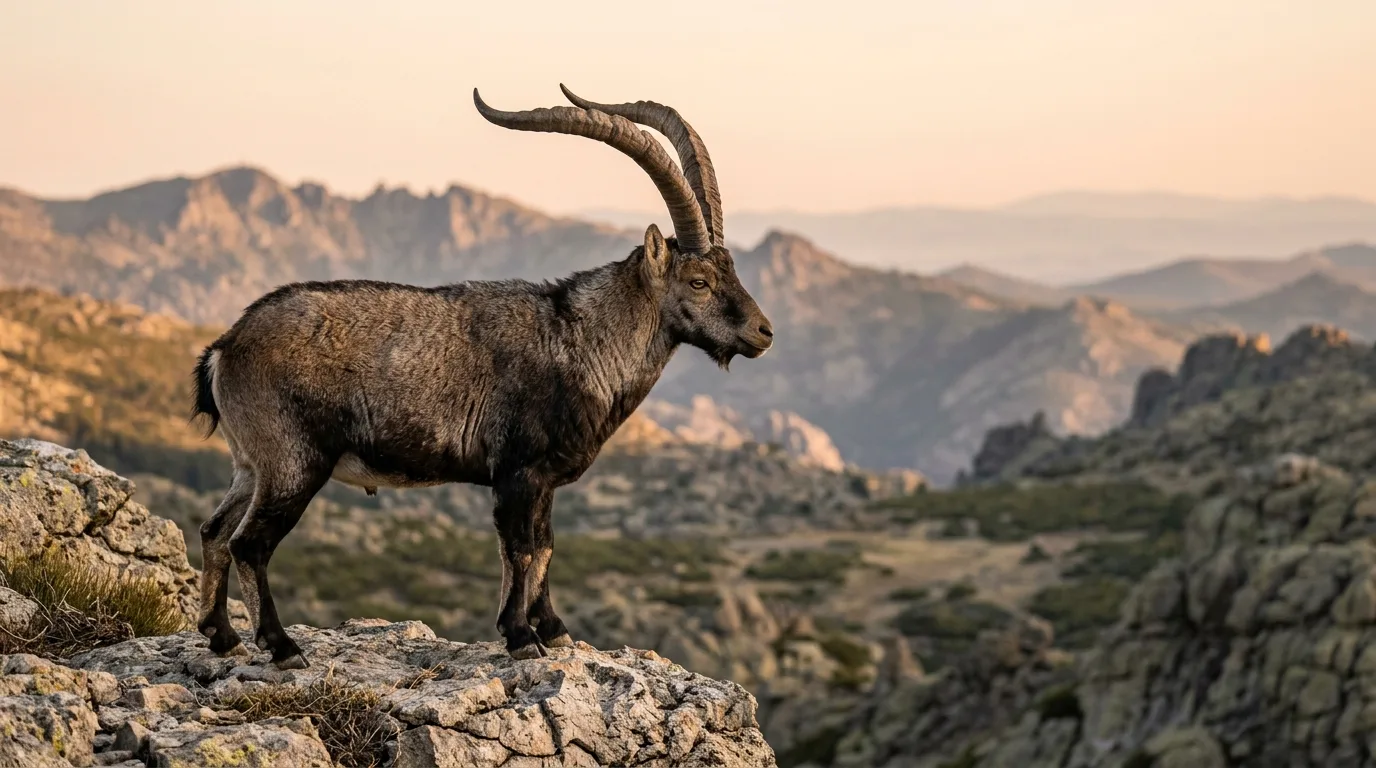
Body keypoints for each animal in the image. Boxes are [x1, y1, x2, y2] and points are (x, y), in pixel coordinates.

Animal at [190, 85, 774, 668]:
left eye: (731, 270)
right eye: (699, 281)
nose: (764, 332)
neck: (582, 342)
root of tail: (225, 348)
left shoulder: (542, 480)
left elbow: (544, 545)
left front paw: (553, 630)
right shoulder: (518, 471)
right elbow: (521, 548)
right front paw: (520, 636)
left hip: (252, 464)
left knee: (215, 529)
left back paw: (222, 635)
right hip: (294, 461)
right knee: (249, 542)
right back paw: (282, 646)